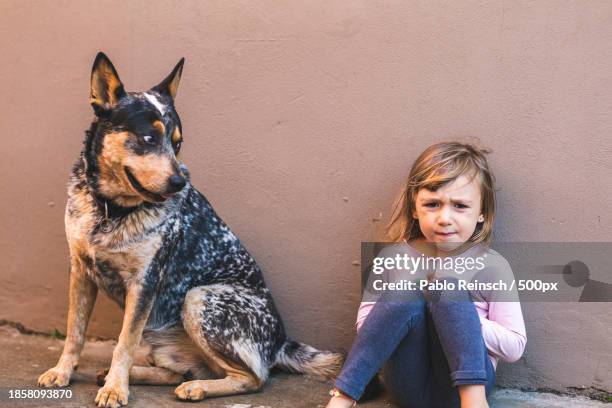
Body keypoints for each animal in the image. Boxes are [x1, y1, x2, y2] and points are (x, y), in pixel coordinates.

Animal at [37, 53, 344, 408]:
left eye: (178, 143)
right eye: (148, 139)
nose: (179, 182)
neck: (111, 210)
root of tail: (280, 341)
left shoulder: (145, 283)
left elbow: (123, 344)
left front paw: (115, 388)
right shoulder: (80, 271)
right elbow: (75, 331)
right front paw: (63, 371)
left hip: (198, 298)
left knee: (253, 378)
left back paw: (196, 388)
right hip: (164, 335)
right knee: (184, 370)